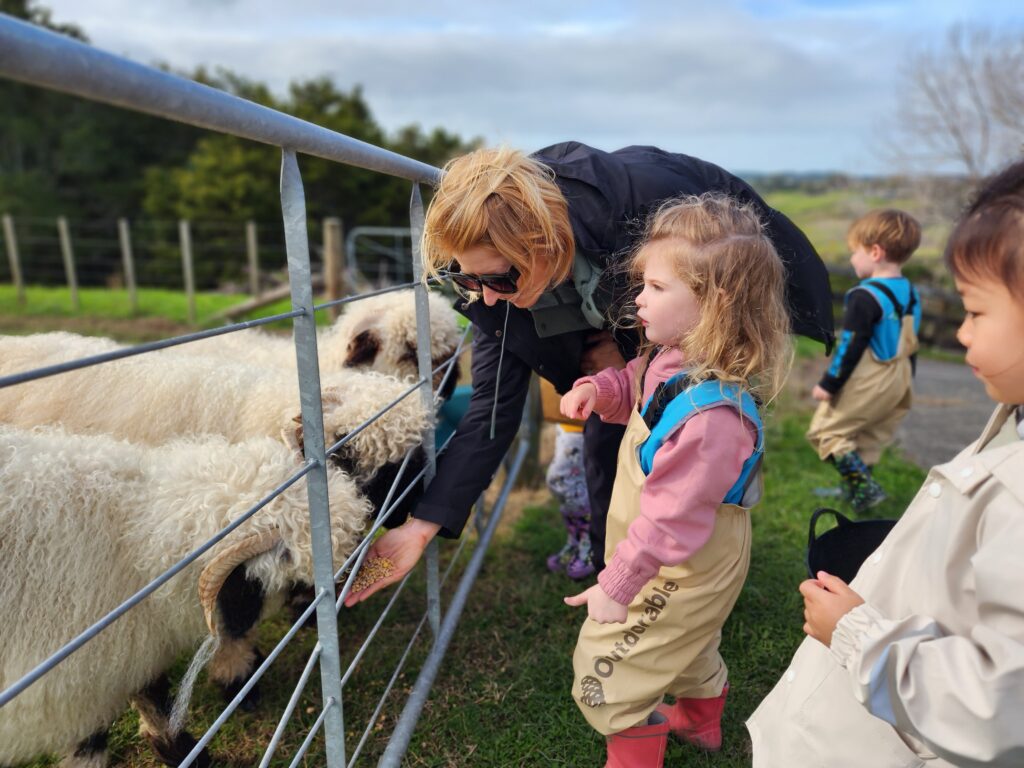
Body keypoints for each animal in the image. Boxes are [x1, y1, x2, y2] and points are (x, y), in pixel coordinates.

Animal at [0, 428, 368, 768]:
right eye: (292, 568)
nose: (350, 582)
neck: (132, 536)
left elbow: (152, 695)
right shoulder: (68, 674)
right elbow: (102, 727)